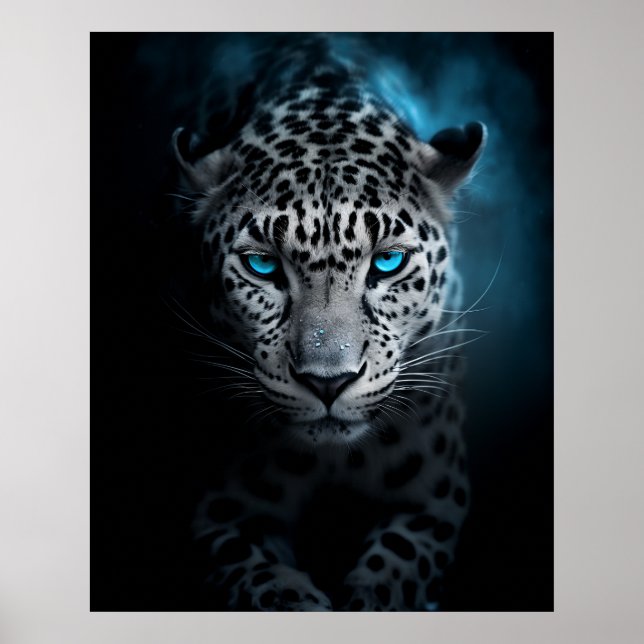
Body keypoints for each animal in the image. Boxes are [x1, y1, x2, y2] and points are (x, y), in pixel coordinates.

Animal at [170, 35, 486, 611]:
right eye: (263, 266)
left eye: (388, 262)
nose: (328, 382)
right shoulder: (220, 510)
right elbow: (262, 582)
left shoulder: (435, 501)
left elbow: (397, 571)